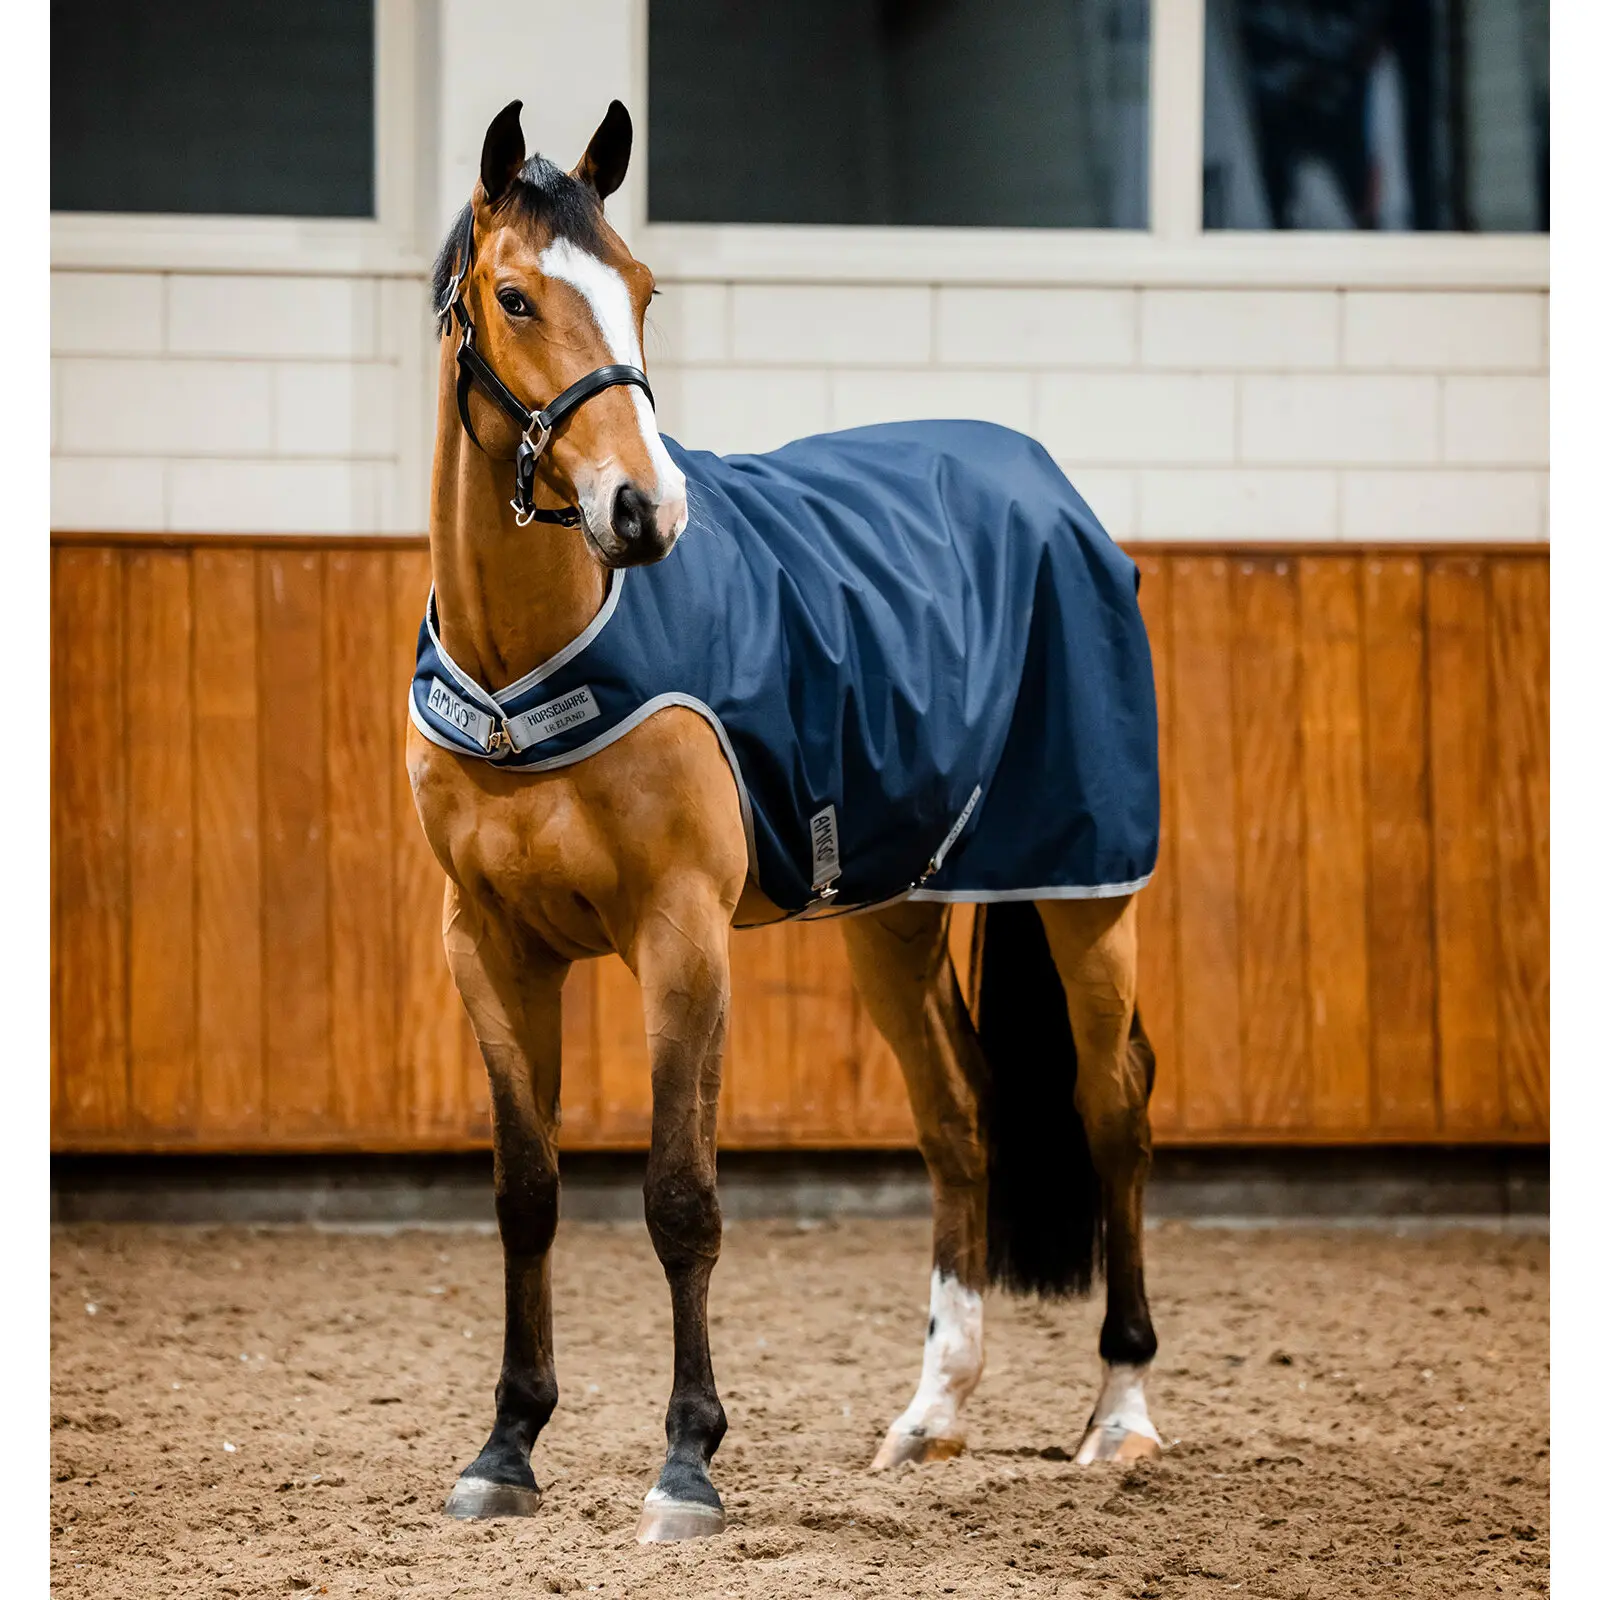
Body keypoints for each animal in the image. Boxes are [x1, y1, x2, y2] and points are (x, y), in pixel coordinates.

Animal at [407, 98, 1163, 1545]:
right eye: (515, 297)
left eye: (643, 289)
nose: (644, 512)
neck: (533, 658)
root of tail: (1052, 489)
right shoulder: (490, 944)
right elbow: (526, 1195)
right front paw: (504, 1449)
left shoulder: (681, 937)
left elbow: (680, 1197)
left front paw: (686, 1466)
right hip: (899, 915)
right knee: (964, 1116)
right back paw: (931, 1416)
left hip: (1083, 893)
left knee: (1113, 1110)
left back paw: (1121, 1416)